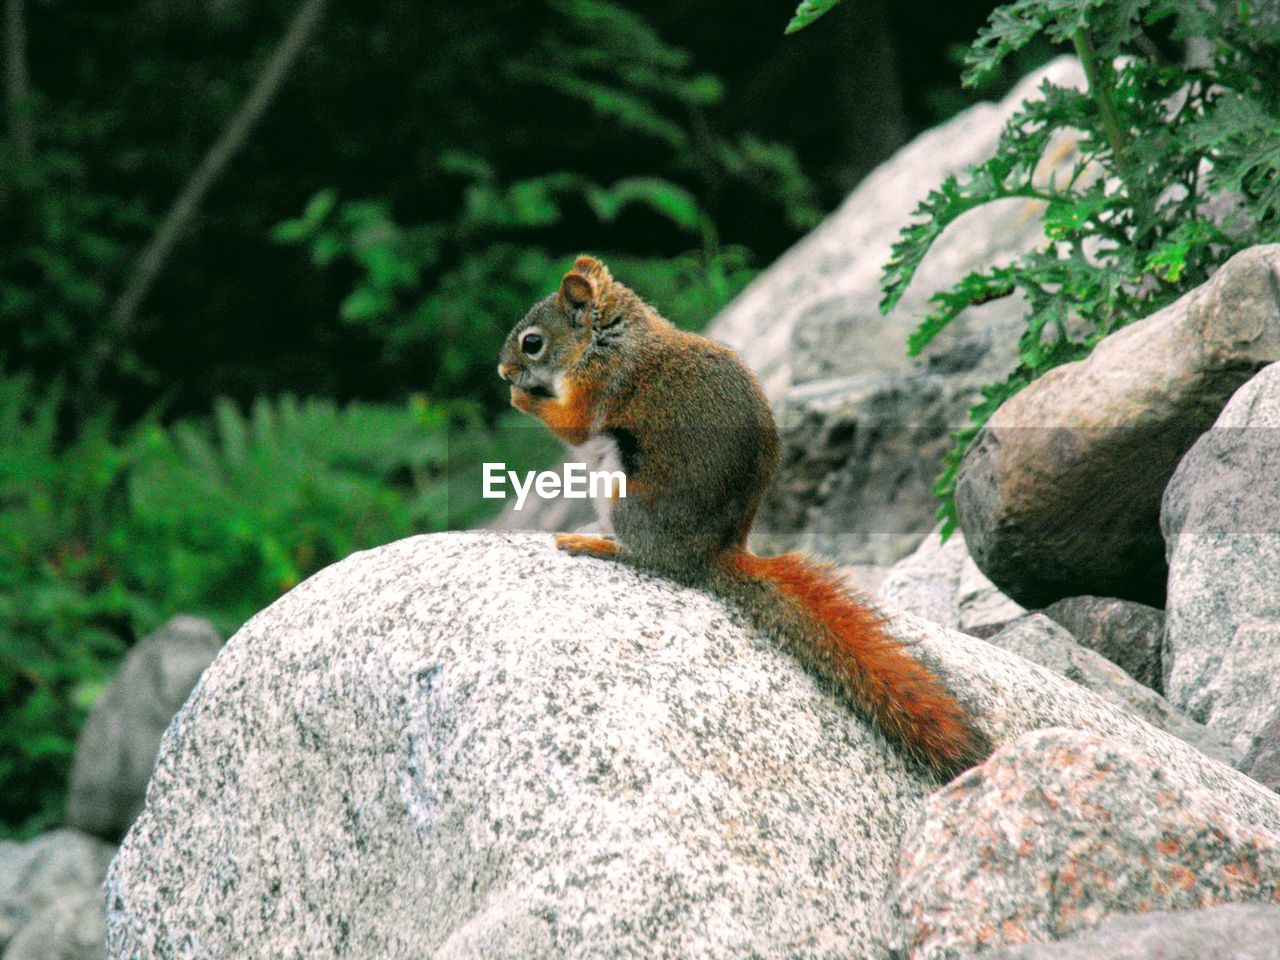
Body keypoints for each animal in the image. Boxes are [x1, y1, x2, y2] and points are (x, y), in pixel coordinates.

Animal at [494, 256, 983, 783]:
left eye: (532, 342)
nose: (503, 371)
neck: (609, 338)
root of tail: (713, 555)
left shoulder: (603, 385)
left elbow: (575, 424)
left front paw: (523, 400)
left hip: (625, 496)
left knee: (652, 560)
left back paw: (596, 543)